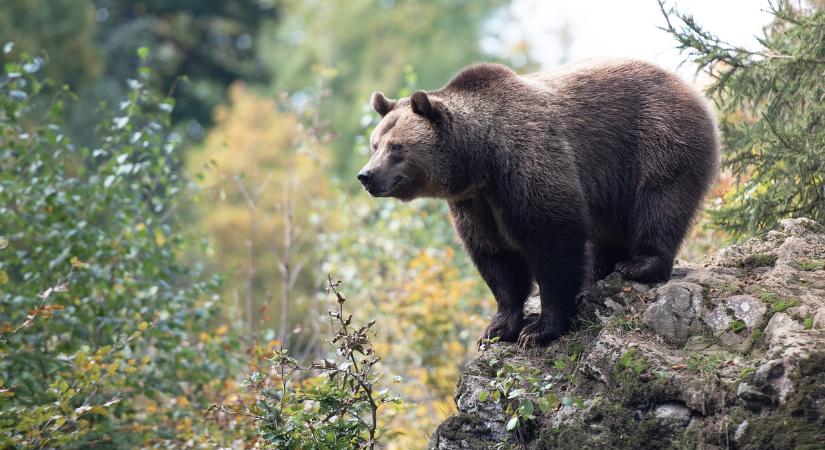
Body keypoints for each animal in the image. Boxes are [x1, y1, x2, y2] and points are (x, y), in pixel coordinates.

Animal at [358, 59, 716, 348]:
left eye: (396, 147)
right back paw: (600, 270)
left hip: (658, 138)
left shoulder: (528, 164)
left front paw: (539, 330)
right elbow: (496, 257)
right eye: (375, 144)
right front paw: (497, 328)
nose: (366, 175)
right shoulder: (475, 203)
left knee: (660, 202)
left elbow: (553, 241)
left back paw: (639, 264)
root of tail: (691, 88)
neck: (482, 160)